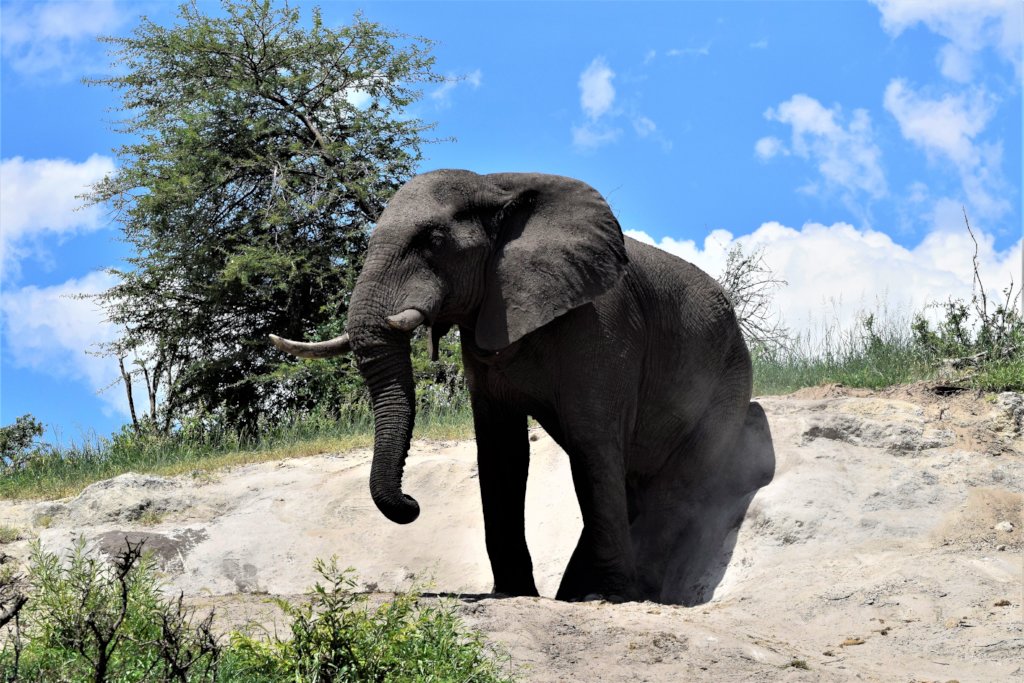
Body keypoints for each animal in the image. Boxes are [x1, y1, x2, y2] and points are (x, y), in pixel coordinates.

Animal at [270, 170, 775, 604]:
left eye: (434, 242)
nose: (412, 503)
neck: (497, 187)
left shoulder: (604, 324)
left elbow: (593, 447)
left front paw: (611, 597)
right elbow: (501, 452)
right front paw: (515, 594)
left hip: (727, 379)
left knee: (673, 485)